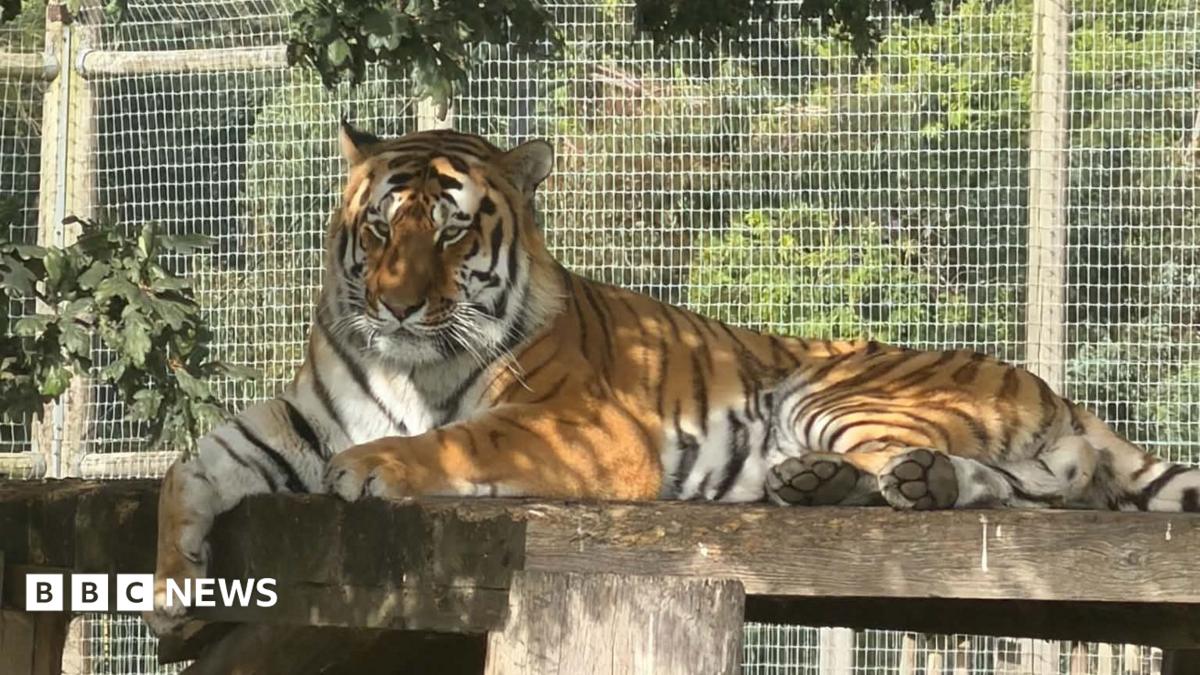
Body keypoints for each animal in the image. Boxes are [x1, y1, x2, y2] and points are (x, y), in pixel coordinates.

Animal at [148, 122, 1200, 633]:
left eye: (448, 231)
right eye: (377, 229)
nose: (399, 306)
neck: (400, 362)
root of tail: (1053, 387)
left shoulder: (584, 427)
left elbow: (460, 435)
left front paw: (378, 466)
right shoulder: (294, 418)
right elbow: (186, 468)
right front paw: (169, 594)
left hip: (830, 390)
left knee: (1027, 486)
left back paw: (877, 481)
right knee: (1035, 488)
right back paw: (837, 485)